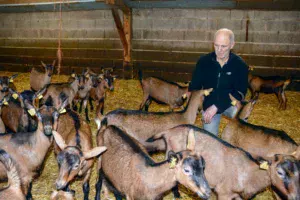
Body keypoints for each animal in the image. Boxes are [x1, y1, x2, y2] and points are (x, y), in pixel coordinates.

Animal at [148, 124, 300, 199]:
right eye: (279, 172)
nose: (296, 197)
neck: (249, 172)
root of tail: (169, 131)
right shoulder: (224, 193)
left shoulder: (236, 195)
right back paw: (177, 195)